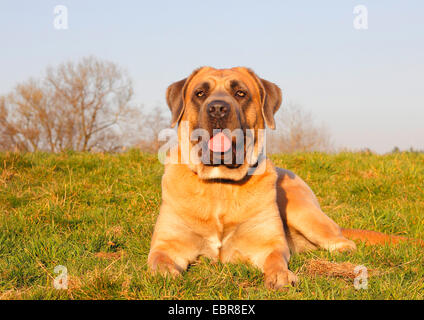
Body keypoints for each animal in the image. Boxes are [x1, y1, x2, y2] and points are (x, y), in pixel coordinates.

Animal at [148, 66, 414, 288]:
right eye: (200, 93)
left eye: (241, 93)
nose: (217, 108)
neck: (220, 184)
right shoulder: (168, 242)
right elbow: (159, 258)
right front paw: (165, 273)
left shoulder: (267, 244)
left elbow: (276, 258)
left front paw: (281, 276)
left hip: (302, 212)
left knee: (343, 241)